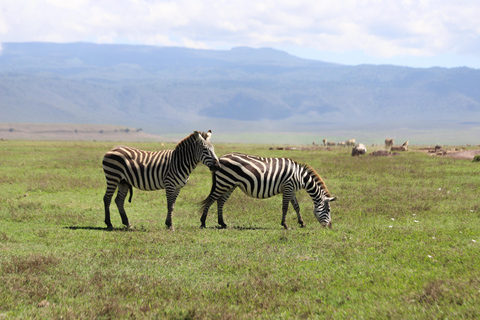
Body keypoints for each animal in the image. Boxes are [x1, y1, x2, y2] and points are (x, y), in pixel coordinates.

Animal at [201, 153, 336, 230]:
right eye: (328, 210)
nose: (330, 226)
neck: (301, 177)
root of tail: (220, 158)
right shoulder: (287, 187)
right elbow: (285, 207)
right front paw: (285, 225)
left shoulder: (292, 190)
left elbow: (297, 207)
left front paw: (302, 223)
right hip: (224, 182)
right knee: (211, 200)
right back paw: (203, 222)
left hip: (230, 184)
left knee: (220, 201)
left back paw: (222, 223)